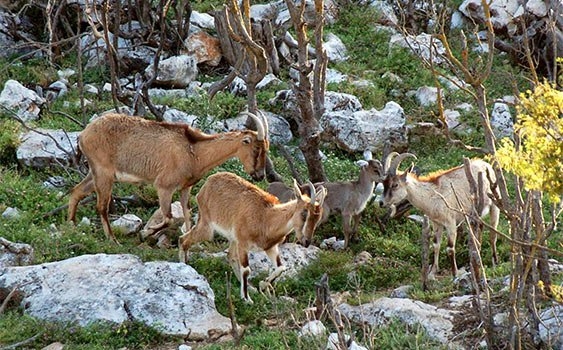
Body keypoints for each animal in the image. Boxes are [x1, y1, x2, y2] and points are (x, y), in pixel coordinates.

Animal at [68, 112, 270, 243]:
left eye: (266, 147)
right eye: (256, 148)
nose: (259, 175)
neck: (194, 151)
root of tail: (84, 134)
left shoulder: (185, 188)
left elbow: (187, 215)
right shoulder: (164, 186)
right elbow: (169, 218)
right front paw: (145, 233)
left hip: (94, 173)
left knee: (76, 191)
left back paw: (72, 226)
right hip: (104, 174)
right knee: (101, 206)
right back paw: (112, 239)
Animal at [178, 171, 328, 302]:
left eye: (318, 217)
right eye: (304, 213)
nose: (306, 241)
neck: (266, 217)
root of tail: (207, 183)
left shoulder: (270, 247)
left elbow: (281, 267)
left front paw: (262, 284)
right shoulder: (243, 244)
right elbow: (246, 269)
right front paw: (246, 299)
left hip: (232, 239)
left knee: (230, 256)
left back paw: (250, 287)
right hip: (208, 226)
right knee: (183, 239)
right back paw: (184, 266)